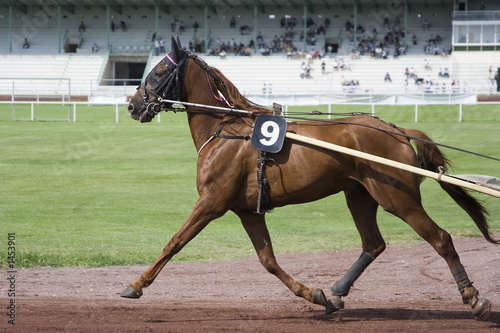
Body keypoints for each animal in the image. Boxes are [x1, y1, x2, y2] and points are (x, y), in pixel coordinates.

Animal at [122, 37, 496, 320]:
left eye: (159, 70)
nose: (132, 105)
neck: (225, 128)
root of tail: (399, 131)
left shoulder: (212, 202)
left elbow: (174, 242)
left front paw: (136, 285)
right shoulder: (247, 211)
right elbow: (268, 261)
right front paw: (316, 295)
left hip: (398, 198)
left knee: (441, 238)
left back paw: (473, 297)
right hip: (360, 195)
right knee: (373, 244)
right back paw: (338, 291)